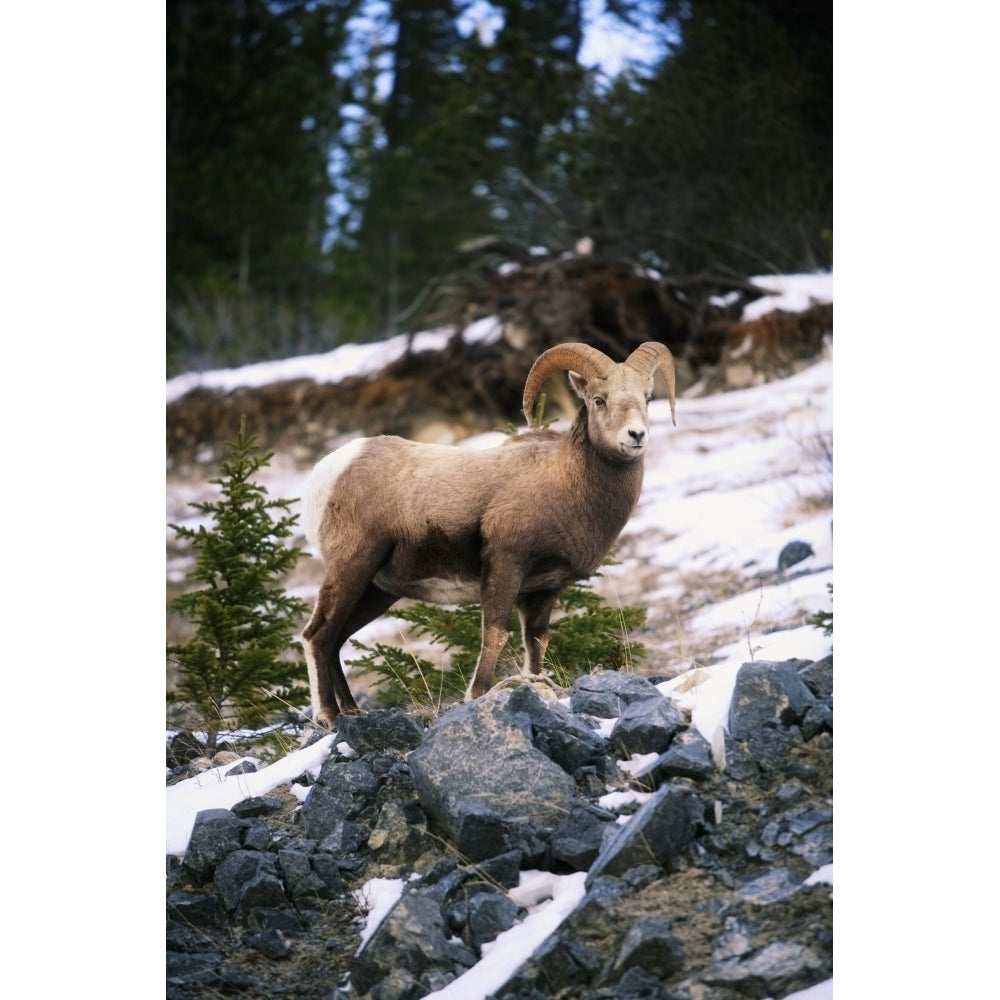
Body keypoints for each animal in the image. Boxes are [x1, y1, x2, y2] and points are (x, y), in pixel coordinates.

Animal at [302, 342, 680, 728]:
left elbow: (536, 641)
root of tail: (331, 469)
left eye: (647, 398)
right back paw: (328, 717)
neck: (567, 481)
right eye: (599, 399)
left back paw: (352, 712)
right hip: (353, 567)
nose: (636, 436)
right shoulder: (505, 566)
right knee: (318, 635)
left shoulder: (545, 588)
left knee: (336, 639)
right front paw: (477, 695)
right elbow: (496, 633)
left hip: (377, 591)